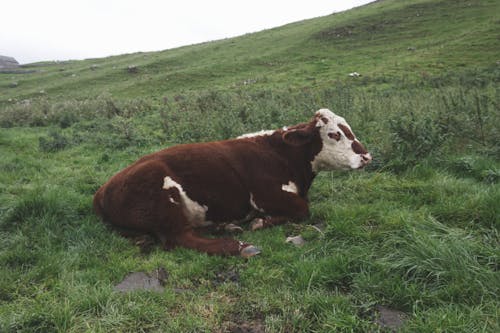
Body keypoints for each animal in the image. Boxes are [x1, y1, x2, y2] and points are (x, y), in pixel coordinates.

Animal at [93, 109, 372, 256]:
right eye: (334, 134)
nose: (366, 156)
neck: (282, 156)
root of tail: (102, 190)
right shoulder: (265, 194)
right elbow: (303, 209)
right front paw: (260, 221)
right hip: (162, 196)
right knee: (179, 238)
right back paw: (239, 246)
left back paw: (225, 226)